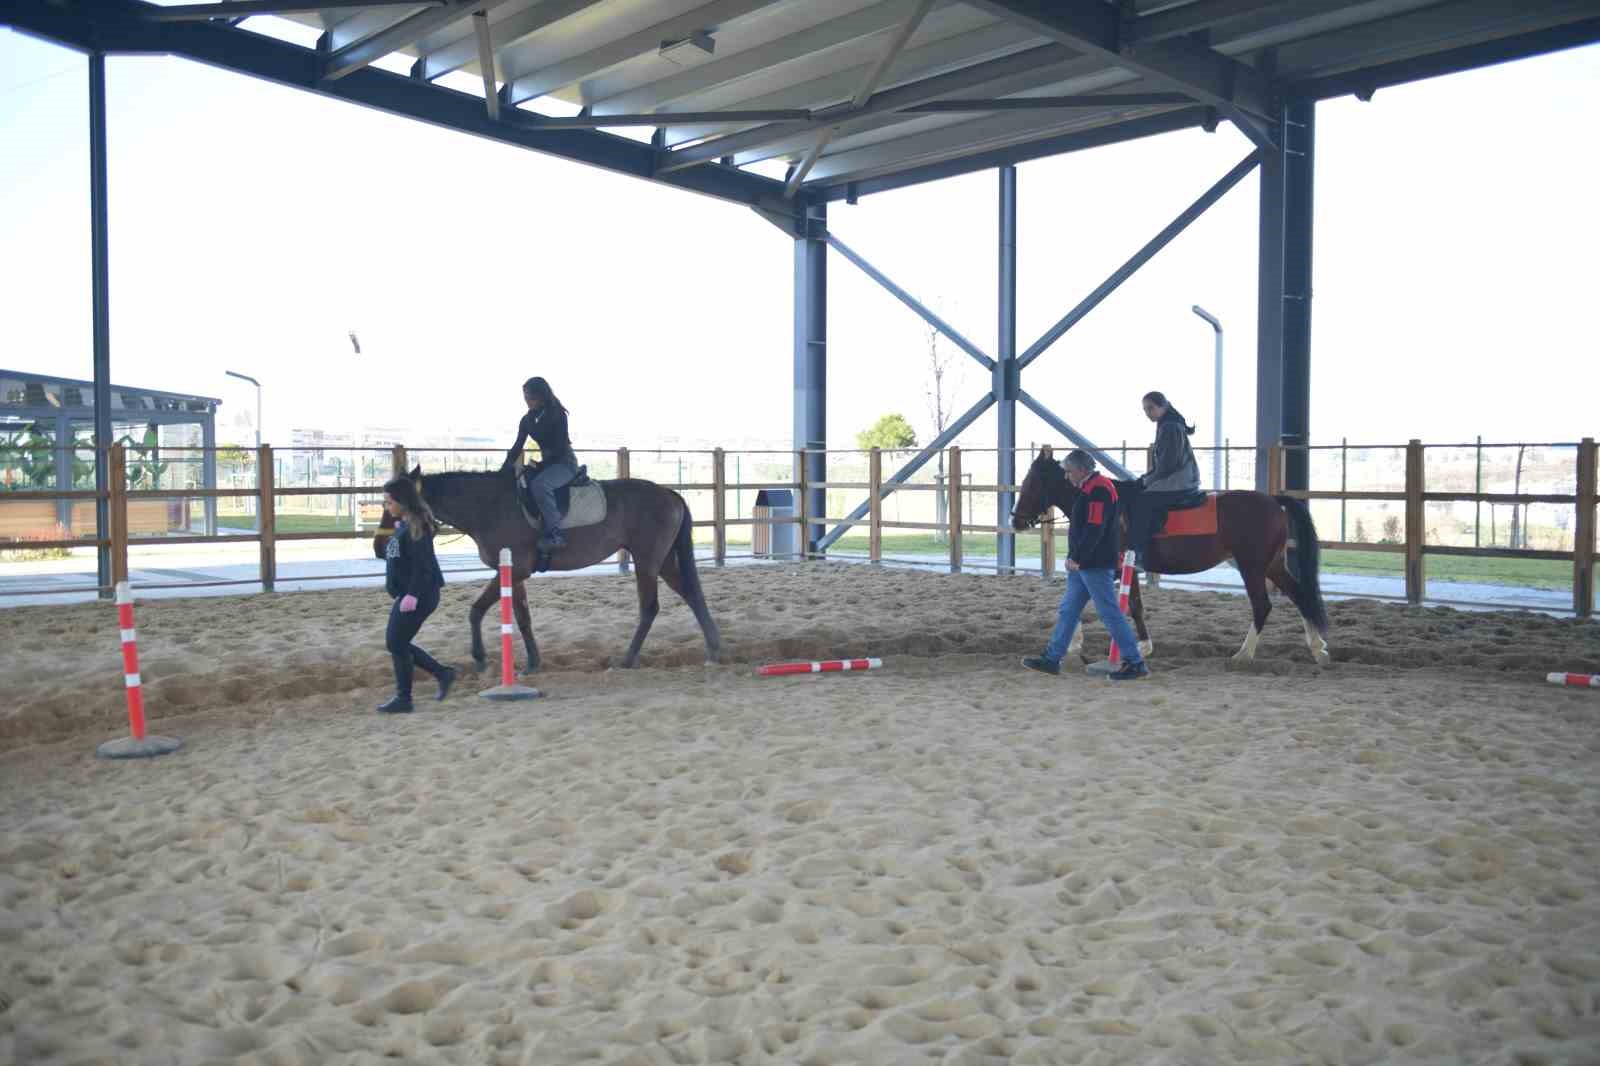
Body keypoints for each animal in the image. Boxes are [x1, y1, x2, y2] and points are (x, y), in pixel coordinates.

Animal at [371, 464, 723, 669]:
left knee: (649, 607)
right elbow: (522, 617)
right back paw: (713, 649)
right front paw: (532, 661)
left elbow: (476, 609)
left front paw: (480, 658)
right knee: (691, 593)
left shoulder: (513, 569)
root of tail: (670, 493)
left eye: (393, 506)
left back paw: (627, 659)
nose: (379, 547)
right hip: (660, 561)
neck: (487, 506)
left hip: (647, 561)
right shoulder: (514, 573)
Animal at [1011, 444, 1337, 665]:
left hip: (1252, 567)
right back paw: (1318, 647)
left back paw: (1244, 654)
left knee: (1262, 605)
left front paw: (1080, 644)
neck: (1103, 503)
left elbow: (1113, 604)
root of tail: (1273, 500)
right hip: (1272, 565)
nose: (1016, 521)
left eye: (1031, 483)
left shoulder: (1110, 566)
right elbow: (1126, 605)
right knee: (1300, 594)